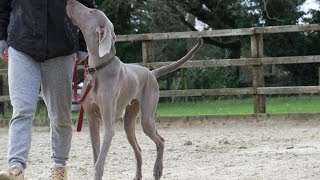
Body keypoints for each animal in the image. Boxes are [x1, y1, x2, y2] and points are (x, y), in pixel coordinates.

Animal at [65, 0, 202, 179]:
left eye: (91, 11)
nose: (69, 1)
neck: (98, 69)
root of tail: (151, 72)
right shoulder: (92, 121)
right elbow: (96, 157)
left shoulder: (109, 126)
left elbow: (99, 164)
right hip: (129, 119)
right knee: (139, 149)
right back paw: (138, 175)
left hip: (146, 118)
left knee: (161, 141)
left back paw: (158, 170)